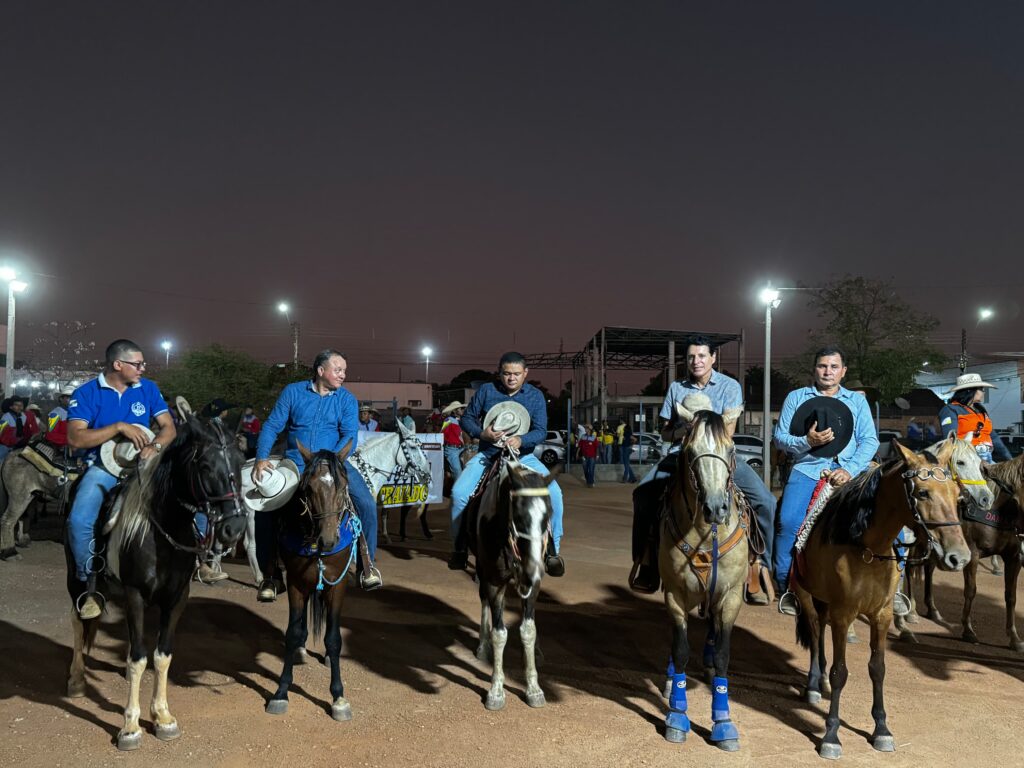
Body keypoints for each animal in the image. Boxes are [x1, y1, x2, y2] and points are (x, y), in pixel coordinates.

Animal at [65, 421, 246, 753]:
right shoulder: (135, 595)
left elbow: (162, 656)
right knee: (78, 620)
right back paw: (76, 678)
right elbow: (138, 657)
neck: (161, 532)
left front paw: (162, 716)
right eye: (204, 466)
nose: (234, 529)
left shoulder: (177, 598)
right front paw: (130, 726)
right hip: (76, 576)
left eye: (241, 462)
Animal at [266, 438, 358, 720]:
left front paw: (338, 697)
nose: (328, 540)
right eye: (308, 489)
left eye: (343, 487)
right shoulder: (296, 582)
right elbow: (292, 632)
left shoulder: (338, 584)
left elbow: (334, 638)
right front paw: (281, 692)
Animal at [466, 454, 557, 712]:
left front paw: (534, 688)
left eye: (549, 515)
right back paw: (483, 646)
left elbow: (528, 630)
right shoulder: (494, 581)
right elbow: (499, 634)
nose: (533, 569)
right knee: (484, 602)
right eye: (519, 516)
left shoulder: (533, 585)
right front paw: (496, 691)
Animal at [794, 438, 970, 765]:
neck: (867, 547)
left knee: (819, 631)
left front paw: (882, 730)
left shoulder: (882, 614)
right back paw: (813, 684)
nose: (959, 557)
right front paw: (831, 736)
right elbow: (841, 672)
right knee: (813, 630)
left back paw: (820, 682)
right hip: (806, 596)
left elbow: (878, 668)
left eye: (957, 495)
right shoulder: (844, 614)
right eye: (922, 492)